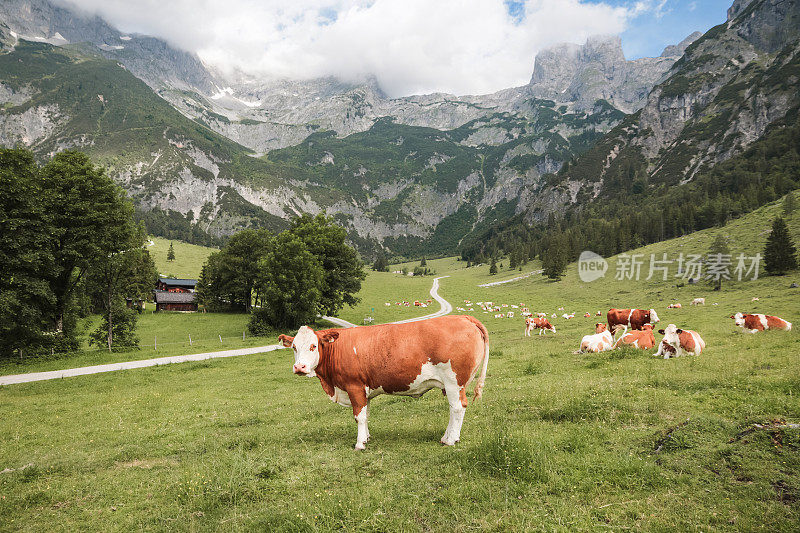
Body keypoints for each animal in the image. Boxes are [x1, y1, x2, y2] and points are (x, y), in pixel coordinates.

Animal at [282, 316, 494, 448]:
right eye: (294, 347)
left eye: (313, 346)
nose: (299, 367)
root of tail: (463, 317)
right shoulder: (363, 390)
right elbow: (366, 414)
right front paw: (366, 437)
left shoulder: (354, 386)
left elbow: (359, 416)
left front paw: (359, 444)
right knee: (454, 409)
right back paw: (446, 437)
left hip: (453, 382)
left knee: (457, 408)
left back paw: (451, 440)